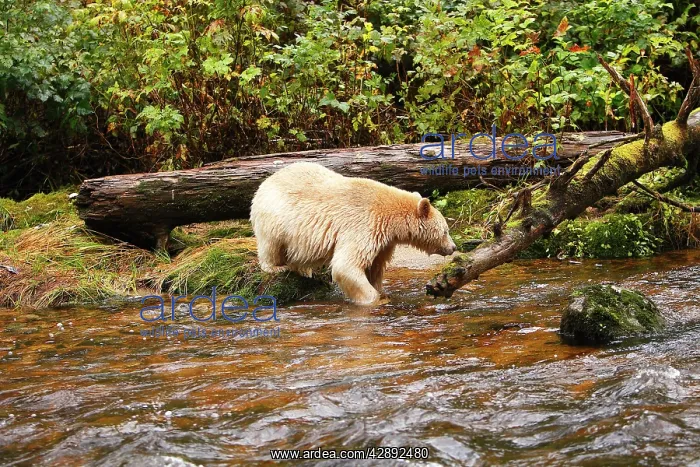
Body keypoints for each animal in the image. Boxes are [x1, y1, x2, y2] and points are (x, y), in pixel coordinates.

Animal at [250, 162, 457, 304]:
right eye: (445, 231)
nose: (453, 247)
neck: (389, 216)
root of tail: (266, 182)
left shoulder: (384, 240)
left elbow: (375, 267)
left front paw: (381, 291)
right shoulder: (363, 225)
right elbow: (347, 265)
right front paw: (374, 299)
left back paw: (305, 270)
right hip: (275, 218)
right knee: (271, 245)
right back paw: (277, 266)